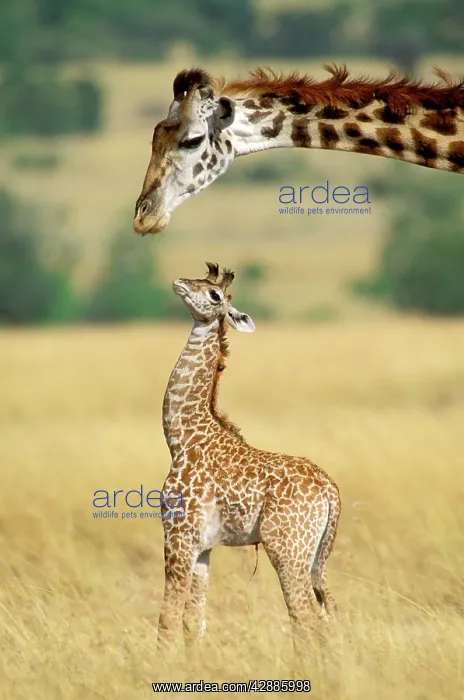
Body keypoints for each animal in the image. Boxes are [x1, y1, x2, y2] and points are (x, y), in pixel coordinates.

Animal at [158, 262, 341, 659]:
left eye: (214, 294)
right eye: (199, 279)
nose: (179, 283)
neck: (182, 437)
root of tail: (331, 491)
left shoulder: (178, 536)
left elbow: (167, 618)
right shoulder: (204, 547)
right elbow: (193, 622)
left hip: (287, 548)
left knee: (306, 615)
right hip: (314, 555)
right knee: (326, 613)